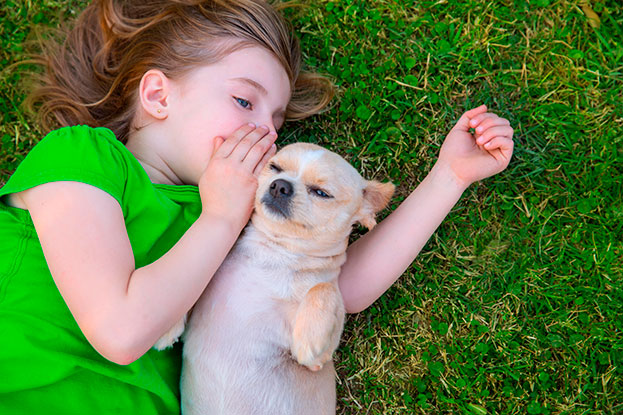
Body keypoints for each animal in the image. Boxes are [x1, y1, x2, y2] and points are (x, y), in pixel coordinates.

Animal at [160, 144, 394, 415]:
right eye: (275, 167)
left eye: (321, 193)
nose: (280, 185)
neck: (274, 253)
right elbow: (189, 282)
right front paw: (166, 323)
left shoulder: (319, 359)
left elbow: (322, 289)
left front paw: (309, 338)